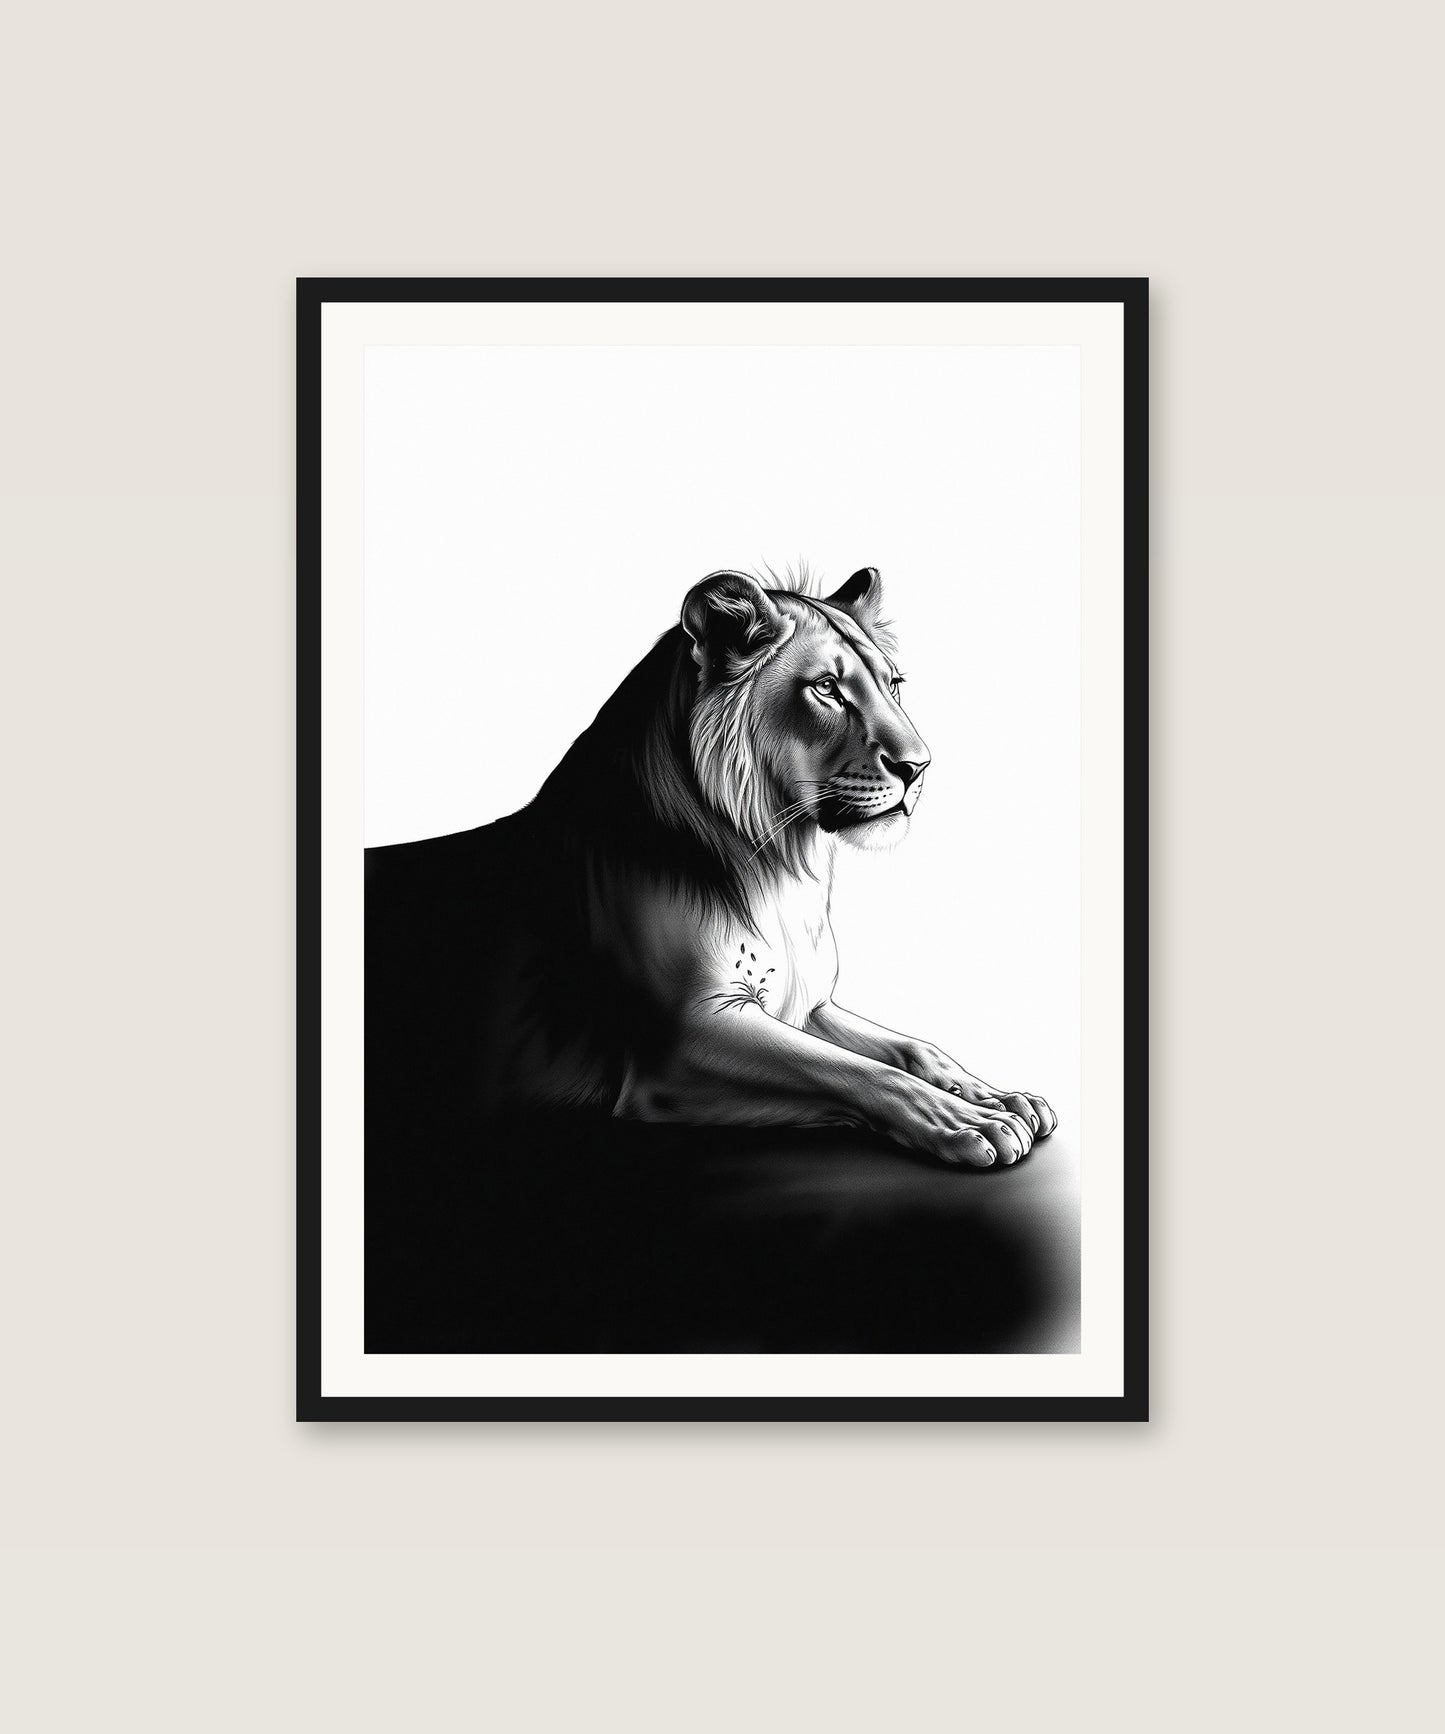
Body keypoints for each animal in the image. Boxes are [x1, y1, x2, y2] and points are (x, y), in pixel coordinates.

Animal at [365, 566, 1055, 1169]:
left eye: (894, 685)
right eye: (827, 689)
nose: (919, 766)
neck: (783, 865)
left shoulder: (806, 1004)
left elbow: (910, 1048)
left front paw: (999, 1096)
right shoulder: (682, 1040)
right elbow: (860, 1073)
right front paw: (971, 1123)